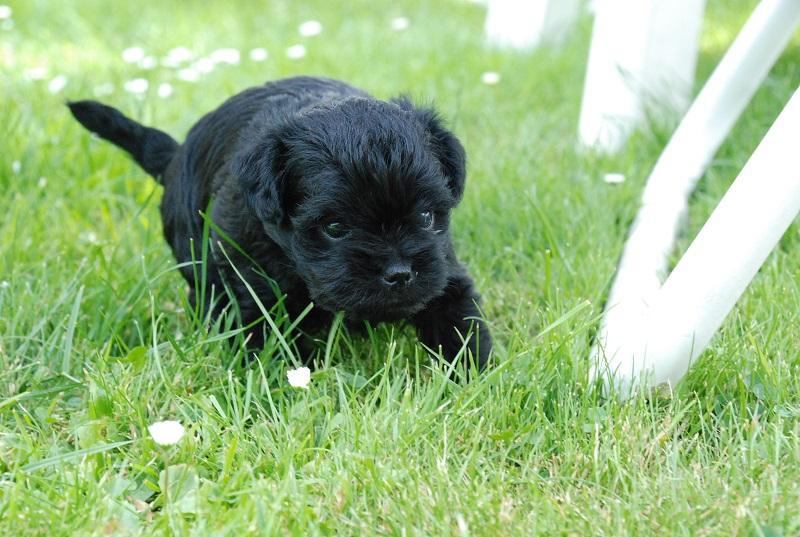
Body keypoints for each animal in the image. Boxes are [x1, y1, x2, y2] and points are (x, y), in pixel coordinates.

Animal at [68, 76, 491, 368]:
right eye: (334, 228)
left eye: (426, 216)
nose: (399, 273)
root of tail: (173, 157)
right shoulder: (250, 281)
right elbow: (261, 329)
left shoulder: (444, 272)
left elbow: (458, 319)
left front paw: (472, 378)